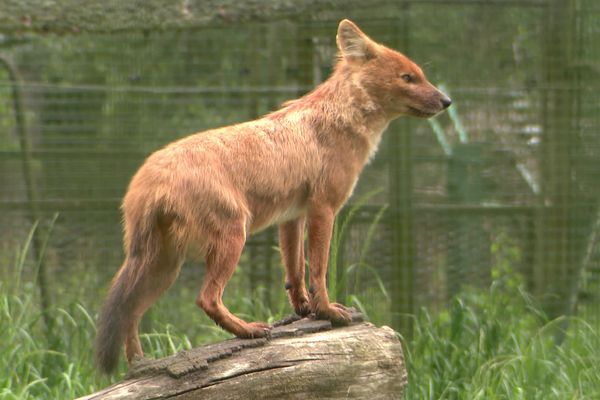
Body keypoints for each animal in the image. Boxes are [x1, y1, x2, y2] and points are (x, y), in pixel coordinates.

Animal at [95, 18, 450, 376]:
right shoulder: (324, 209)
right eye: (408, 78)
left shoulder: (292, 216)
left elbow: (294, 272)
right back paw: (248, 331)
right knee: (204, 298)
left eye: (421, 74)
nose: (447, 101)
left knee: (130, 311)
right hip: (230, 239)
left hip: (164, 265)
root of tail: (150, 177)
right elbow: (318, 268)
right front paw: (329, 312)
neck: (341, 119)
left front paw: (305, 309)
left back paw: (142, 365)